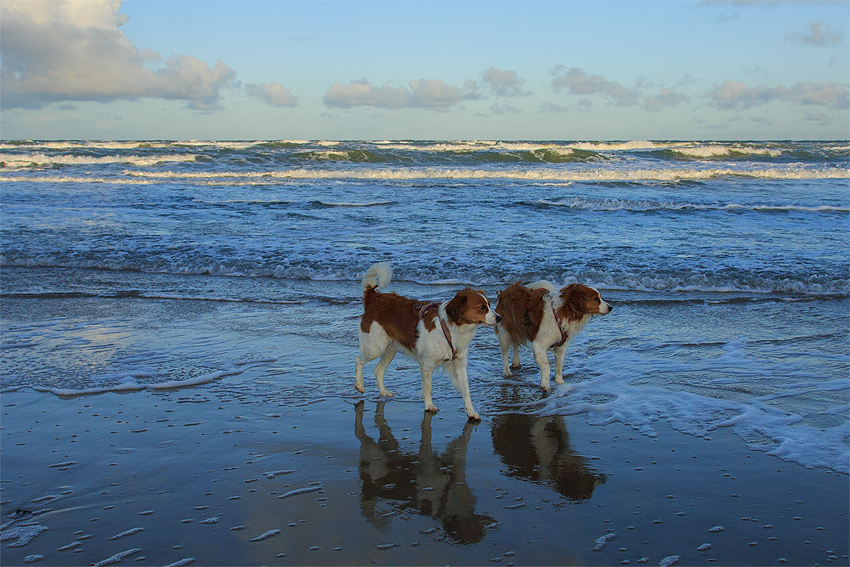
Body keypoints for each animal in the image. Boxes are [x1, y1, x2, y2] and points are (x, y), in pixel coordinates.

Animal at [354, 262, 500, 422]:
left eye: (490, 304)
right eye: (482, 307)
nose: (500, 318)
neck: (450, 328)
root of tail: (375, 298)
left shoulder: (460, 364)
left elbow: (466, 391)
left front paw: (471, 411)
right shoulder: (427, 364)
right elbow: (428, 388)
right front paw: (429, 406)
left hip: (390, 349)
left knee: (378, 370)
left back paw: (383, 391)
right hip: (375, 347)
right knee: (358, 360)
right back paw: (359, 385)